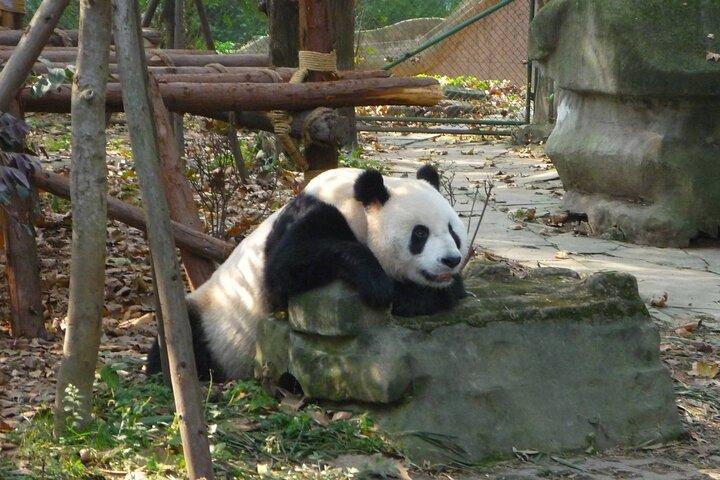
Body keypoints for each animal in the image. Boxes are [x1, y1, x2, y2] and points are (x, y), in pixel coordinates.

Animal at [147, 165, 469, 381]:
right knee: (183, 335)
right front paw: (379, 284)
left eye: (453, 231)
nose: (451, 260)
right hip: (211, 319)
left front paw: (429, 293)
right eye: (420, 234)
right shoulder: (311, 217)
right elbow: (286, 268)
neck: (354, 203)